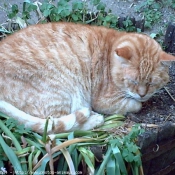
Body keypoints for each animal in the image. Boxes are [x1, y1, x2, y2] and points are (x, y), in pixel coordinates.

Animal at [0, 22, 175, 134]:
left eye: (152, 83)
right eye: (133, 81)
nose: (142, 94)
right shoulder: (104, 101)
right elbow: (134, 105)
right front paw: (138, 102)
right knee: (55, 132)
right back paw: (95, 119)